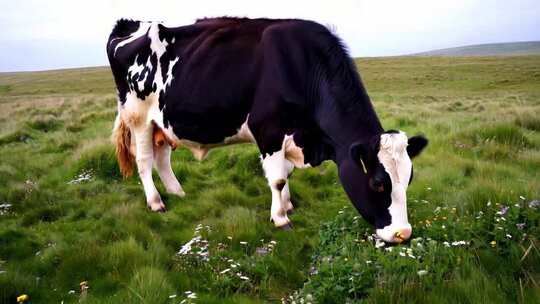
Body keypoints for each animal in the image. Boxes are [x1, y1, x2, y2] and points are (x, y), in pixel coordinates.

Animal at [105, 17, 426, 243]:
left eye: (409, 179)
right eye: (378, 183)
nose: (402, 234)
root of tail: (132, 24)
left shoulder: (290, 135)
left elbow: (286, 173)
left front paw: (288, 206)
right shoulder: (269, 130)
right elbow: (278, 179)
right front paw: (281, 218)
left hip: (162, 124)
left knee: (162, 158)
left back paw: (178, 192)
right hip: (138, 117)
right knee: (144, 161)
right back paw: (156, 202)